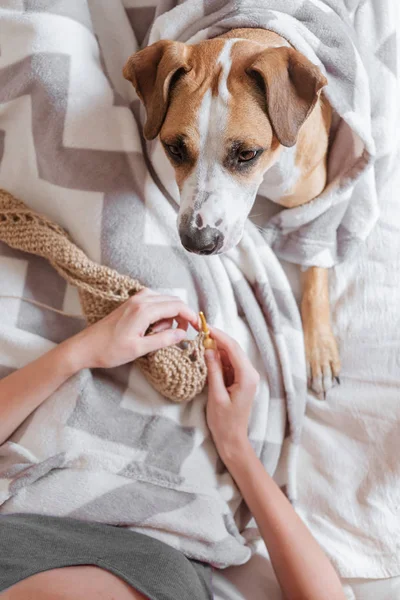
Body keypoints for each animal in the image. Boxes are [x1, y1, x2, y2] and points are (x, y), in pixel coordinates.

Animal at [122, 29, 340, 394]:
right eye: (174, 148)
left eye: (248, 153)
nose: (198, 242)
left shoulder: (318, 203)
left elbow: (314, 272)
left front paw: (320, 350)